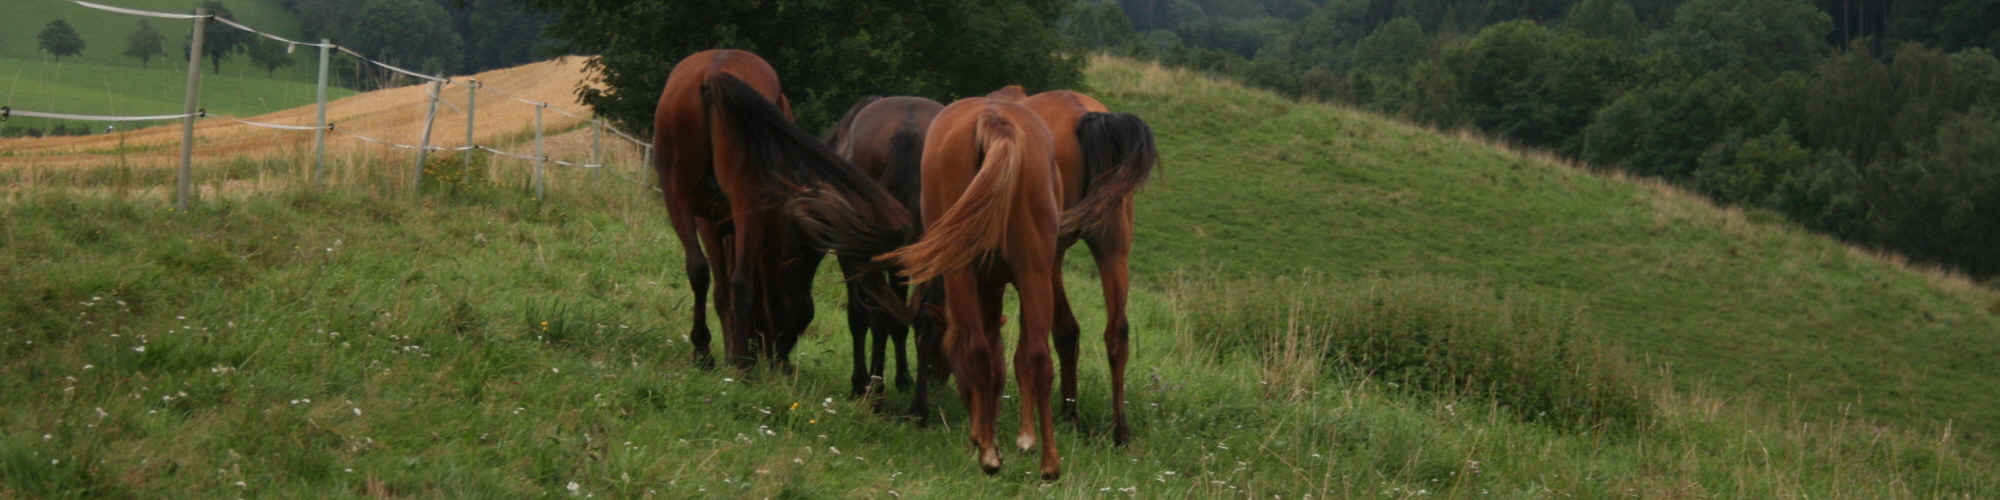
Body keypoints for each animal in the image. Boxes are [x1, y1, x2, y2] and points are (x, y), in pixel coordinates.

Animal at [652, 49, 912, 372]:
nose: (774, 355)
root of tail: (714, 72)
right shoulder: (768, 223)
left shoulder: (709, 222)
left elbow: (719, 288)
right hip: (746, 204)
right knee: (741, 281)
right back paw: (743, 367)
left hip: (678, 199)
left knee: (699, 270)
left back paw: (707, 352)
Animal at [820, 94, 944, 398]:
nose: (938, 375)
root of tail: (908, 128)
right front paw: (903, 378)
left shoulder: (849, 255)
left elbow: (859, 317)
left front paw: (861, 381)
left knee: (878, 315)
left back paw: (873, 389)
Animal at [876, 96, 1064, 480]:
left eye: (941, 354)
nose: (936, 377)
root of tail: (993, 118)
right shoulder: (997, 282)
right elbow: (1004, 353)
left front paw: (989, 434)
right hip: (1033, 272)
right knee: (1036, 355)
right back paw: (1048, 464)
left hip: (962, 271)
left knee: (978, 349)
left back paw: (990, 454)